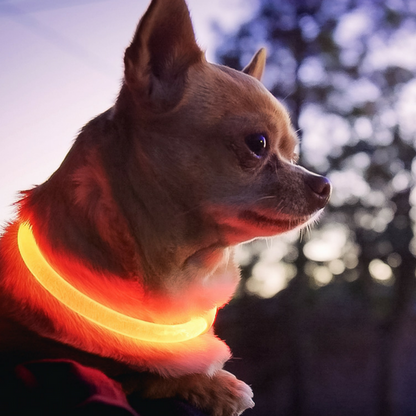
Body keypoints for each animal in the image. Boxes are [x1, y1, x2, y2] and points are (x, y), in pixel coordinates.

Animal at [0, 0, 332, 414]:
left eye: (293, 155)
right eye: (257, 143)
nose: (325, 185)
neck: (184, 271)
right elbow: (141, 372)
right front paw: (217, 385)